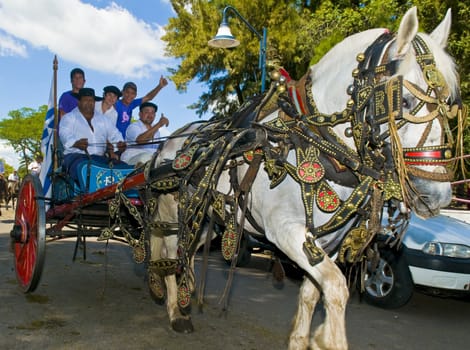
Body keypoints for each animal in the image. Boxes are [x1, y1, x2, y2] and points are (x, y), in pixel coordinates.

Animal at [126, 7, 460, 350]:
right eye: (402, 101)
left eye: (450, 104)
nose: (437, 197)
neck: (313, 140)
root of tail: (168, 144)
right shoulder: (284, 229)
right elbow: (336, 287)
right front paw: (328, 339)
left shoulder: (329, 241)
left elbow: (314, 290)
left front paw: (302, 339)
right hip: (172, 212)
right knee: (170, 254)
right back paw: (175, 311)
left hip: (208, 219)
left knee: (190, 251)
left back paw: (186, 295)